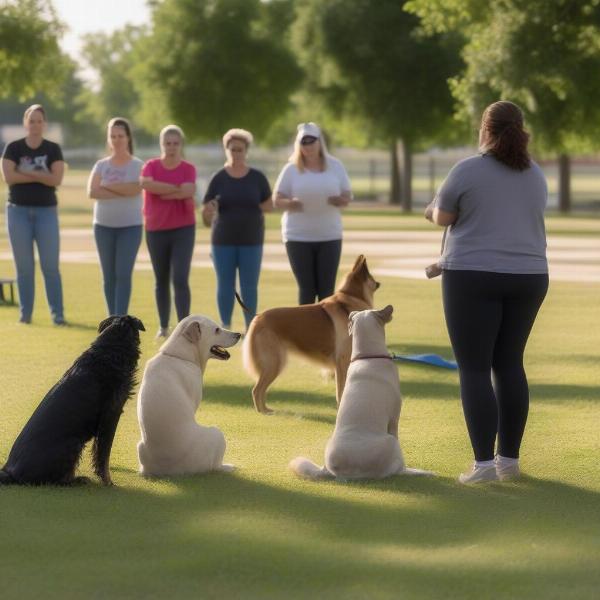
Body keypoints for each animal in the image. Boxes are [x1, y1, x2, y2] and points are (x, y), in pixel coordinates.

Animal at [0, 316, 144, 486]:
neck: (109, 352)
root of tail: (10, 472)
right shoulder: (110, 415)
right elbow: (103, 455)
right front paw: (108, 482)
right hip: (74, 444)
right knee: (56, 480)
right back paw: (77, 480)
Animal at [137, 314, 240, 478]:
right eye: (217, 330)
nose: (239, 334)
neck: (179, 356)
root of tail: (168, 471)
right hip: (217, 434)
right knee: (215, 466)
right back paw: (227, 467)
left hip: (139, 446)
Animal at [241, 253, 378, 412]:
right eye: (371, 276)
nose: (378, 283)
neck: (350, 298)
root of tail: (258, 317)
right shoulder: (342, 362)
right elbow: (341, 390)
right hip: (274, 363)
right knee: (257, 390)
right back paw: (263, 412)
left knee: (260, 390)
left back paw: (267, 410)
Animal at [290, 308, 432, 480]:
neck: (368, 356)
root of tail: (328, 470)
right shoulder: (394, 418)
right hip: (390, 442)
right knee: (398, 469)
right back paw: (419, 472)